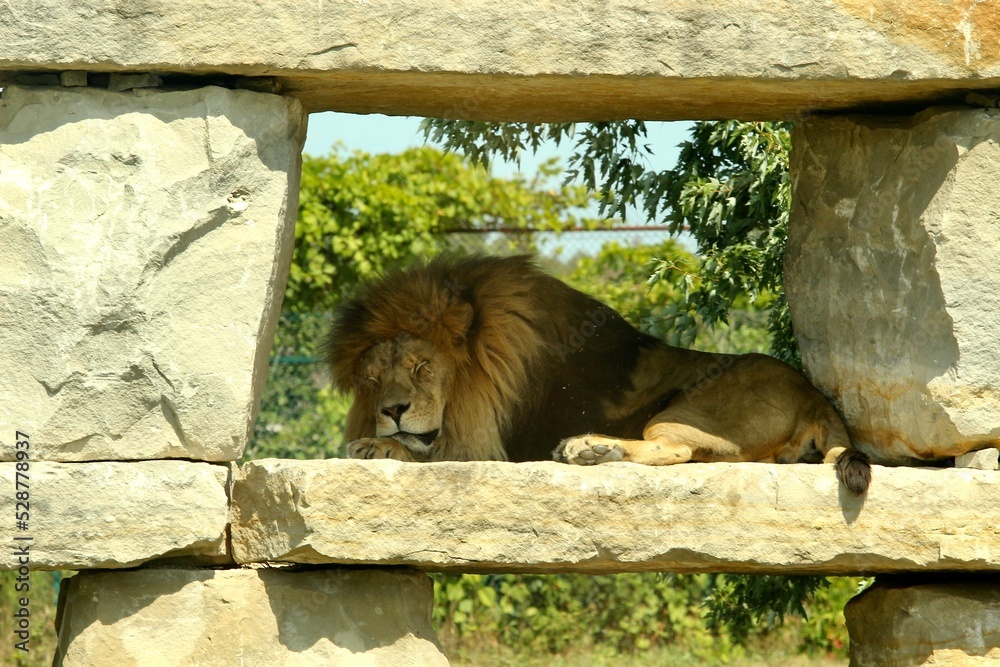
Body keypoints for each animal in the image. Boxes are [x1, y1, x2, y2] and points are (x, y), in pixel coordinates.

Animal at [324, 254, 871, 495]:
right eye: (371, 379)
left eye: (422, 367)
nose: (391, 410)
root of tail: (814, 394)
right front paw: (377, 439)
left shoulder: (489, 450)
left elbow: (424, 452)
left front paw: (375, 445)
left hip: (686, 410)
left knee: (675, 448)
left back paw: (585, 447)